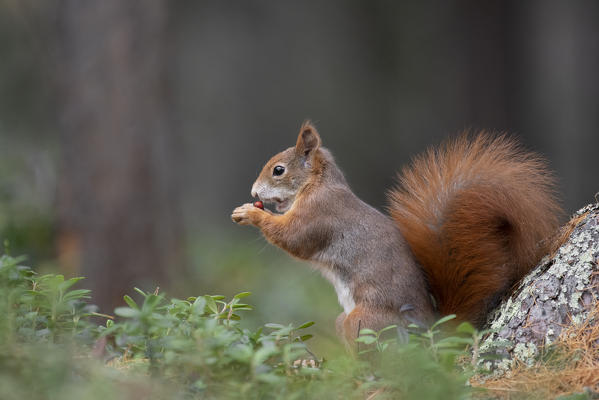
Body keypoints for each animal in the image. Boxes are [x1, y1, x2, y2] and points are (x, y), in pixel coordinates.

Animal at [231, 120, 564, 346]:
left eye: (279, 170)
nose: (254, 192)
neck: (317, 185)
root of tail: (429, 331)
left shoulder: (320, 214)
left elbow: (293, 238)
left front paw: (250, 213)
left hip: (364, 323)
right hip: (347, 322)